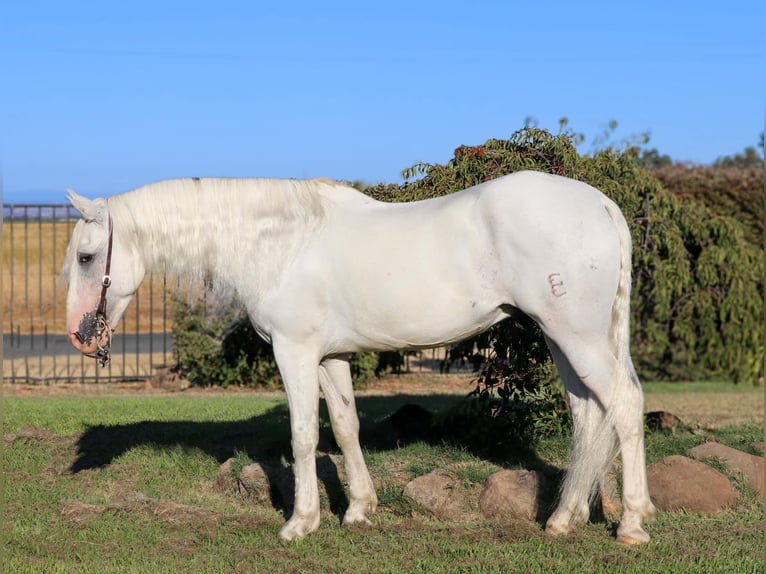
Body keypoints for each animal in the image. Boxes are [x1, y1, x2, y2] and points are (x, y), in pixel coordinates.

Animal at [63, 170, 656, 543]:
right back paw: (564, 519)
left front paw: (300, 523)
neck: (282, 243)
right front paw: (359, 511)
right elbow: (345, 429)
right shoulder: (332, 359)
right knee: (588, 415)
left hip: (575, 336)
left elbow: (304, 435)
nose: (79, 336)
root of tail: (601, 204)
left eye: (88, 258)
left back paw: (631, 524)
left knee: (625, 406)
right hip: (563, 339)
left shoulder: (296, 353)